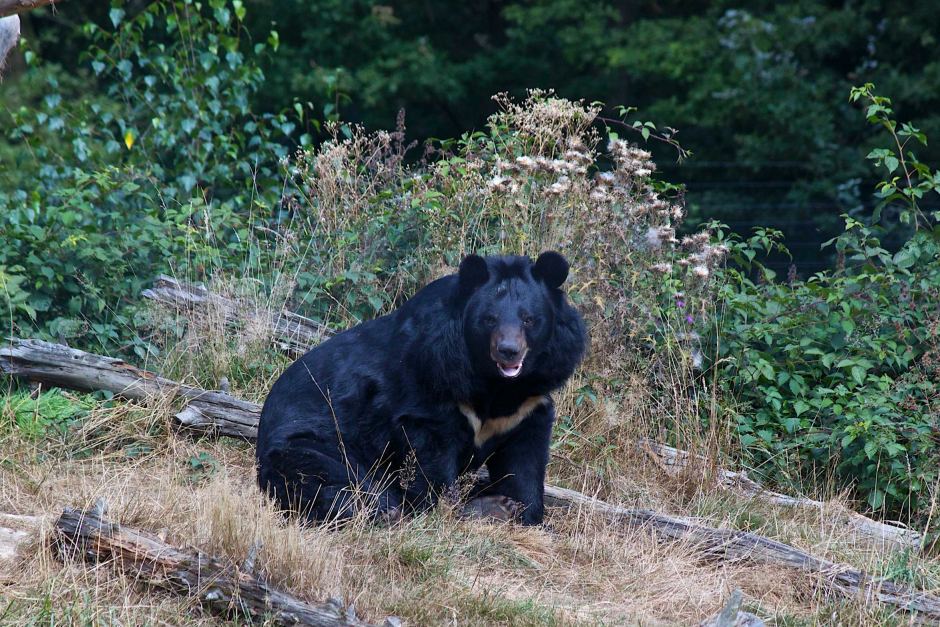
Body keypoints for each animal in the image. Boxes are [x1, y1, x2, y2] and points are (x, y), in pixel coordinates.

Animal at [253, 253, 584, 528]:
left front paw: (527, 513)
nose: (509, 351)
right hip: (315, 444)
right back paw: (386, 511)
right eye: (489, 319)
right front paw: (441, 509)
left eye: (529, 319)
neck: (495, 383)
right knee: (329, 480)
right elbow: (430, 455)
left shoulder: (529, 401)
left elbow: (525, 459)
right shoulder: (432, 383)